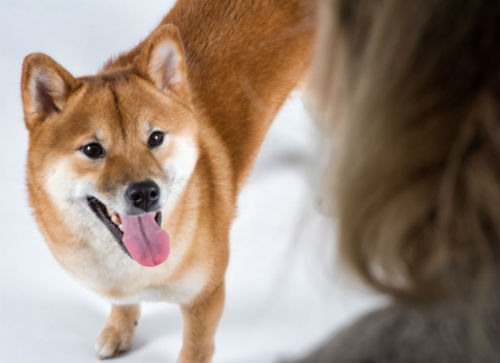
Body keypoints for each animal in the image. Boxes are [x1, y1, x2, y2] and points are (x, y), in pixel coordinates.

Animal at [20, 1, 316, 362]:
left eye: (156, 138)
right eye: (92, 149)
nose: (145, 193)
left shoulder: (205, 297)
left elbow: (195, 347)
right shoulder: (121, 287)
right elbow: (123, 304)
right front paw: (119, 329)